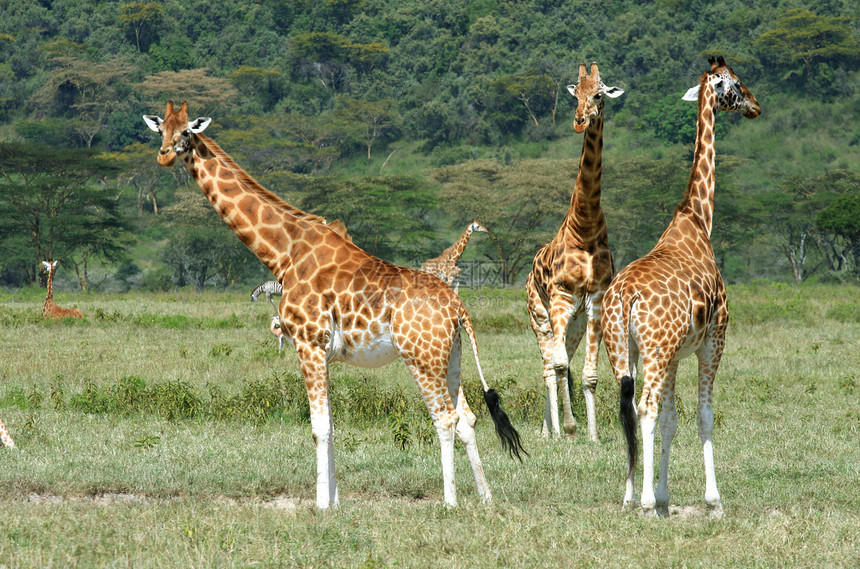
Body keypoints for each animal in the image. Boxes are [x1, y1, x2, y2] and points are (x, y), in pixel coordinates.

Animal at [141, 101, 524, 506]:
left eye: (186, 132)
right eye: (160, 130)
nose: (164, 155)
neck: (283, 253)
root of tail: (458, 308)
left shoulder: (308, 343)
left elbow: (319, 428)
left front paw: (321, 505)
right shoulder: (323, 352)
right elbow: (333, 426)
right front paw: (336, 502)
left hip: (420, 357)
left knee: (445, 419)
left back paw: (450, 501)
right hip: (451, 357)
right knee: (467, 417)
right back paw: (486, 497)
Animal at [524, 62, 624, 440]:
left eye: (598, 94)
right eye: (575, 95)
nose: (580, 120)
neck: (585, 228)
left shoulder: (594, 302)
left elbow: (589, 374)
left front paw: (592, 435)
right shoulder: (560, 298)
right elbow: (559, 366)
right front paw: (569, 428)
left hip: (575, 323)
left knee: (561, 357)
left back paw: (547, 429)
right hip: (540, 316)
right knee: (549, 369)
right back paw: (551, 433)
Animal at [600, 56, 764, 516]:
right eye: (737, 85)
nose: (756, 106)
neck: (698, 219)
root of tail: (625, 297)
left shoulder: (675, 354)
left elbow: (673, 421)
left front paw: (663, 496)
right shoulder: (714, 339)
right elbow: (703, 415)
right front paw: (713, 499)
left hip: (622, 349)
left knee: (627, 408)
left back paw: (628, 495)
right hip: (654, 350)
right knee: (645, 408)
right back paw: (640, 502)